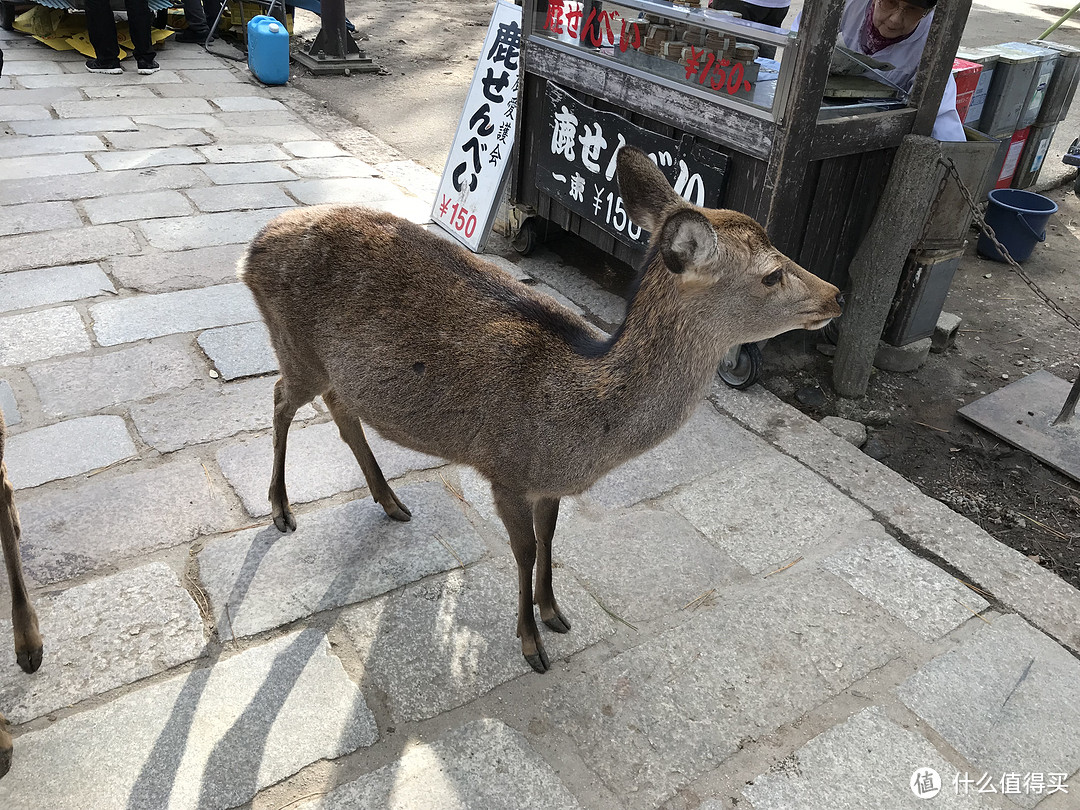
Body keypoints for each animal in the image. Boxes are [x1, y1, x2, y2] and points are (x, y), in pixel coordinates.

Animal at [243, 145, 842, 673]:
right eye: (771, 274)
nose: (837, 295)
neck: (583, 428)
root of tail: (252, 249)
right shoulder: (505, 469)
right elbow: (525, 549)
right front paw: (531, 645)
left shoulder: (548, 480)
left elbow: (551, 537)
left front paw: (554, 611)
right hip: (293, 345)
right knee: (279, 398)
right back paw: (281, 510)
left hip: (328, 366)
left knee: (340, 408)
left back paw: (391, 501)